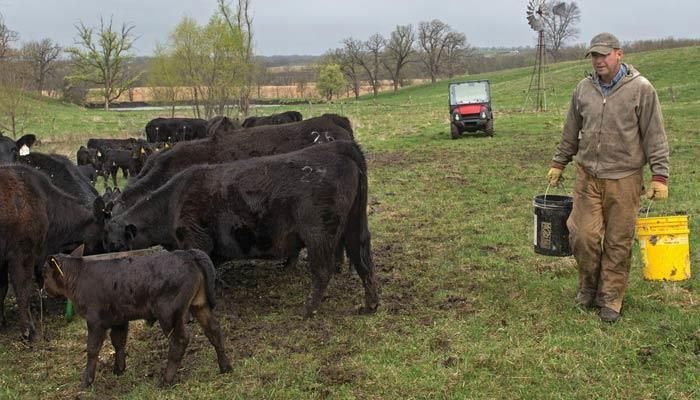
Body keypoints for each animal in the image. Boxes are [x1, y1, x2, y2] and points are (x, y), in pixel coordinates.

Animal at [41, 245, 232, 387]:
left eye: (45, 273)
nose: (44, 289)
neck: (79, 276)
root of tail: (188, 253)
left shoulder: (95, 320)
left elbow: (92, 349)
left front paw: (86, 382)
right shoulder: (119, 319)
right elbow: (118, 342)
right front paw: (119, 370)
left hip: (169, 312)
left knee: (180, 340)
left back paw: (166, 380)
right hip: (199, 304)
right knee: (214, 329)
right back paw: (225, 367)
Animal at [103, 140, 379, 318]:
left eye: (113, 241)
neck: (172, 202)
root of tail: (337, 148)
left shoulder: (195, 241)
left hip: (319, 234)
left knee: (323, 271)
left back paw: (308, 310)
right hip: (354, 227)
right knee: (363, 262)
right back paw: (370, 305)